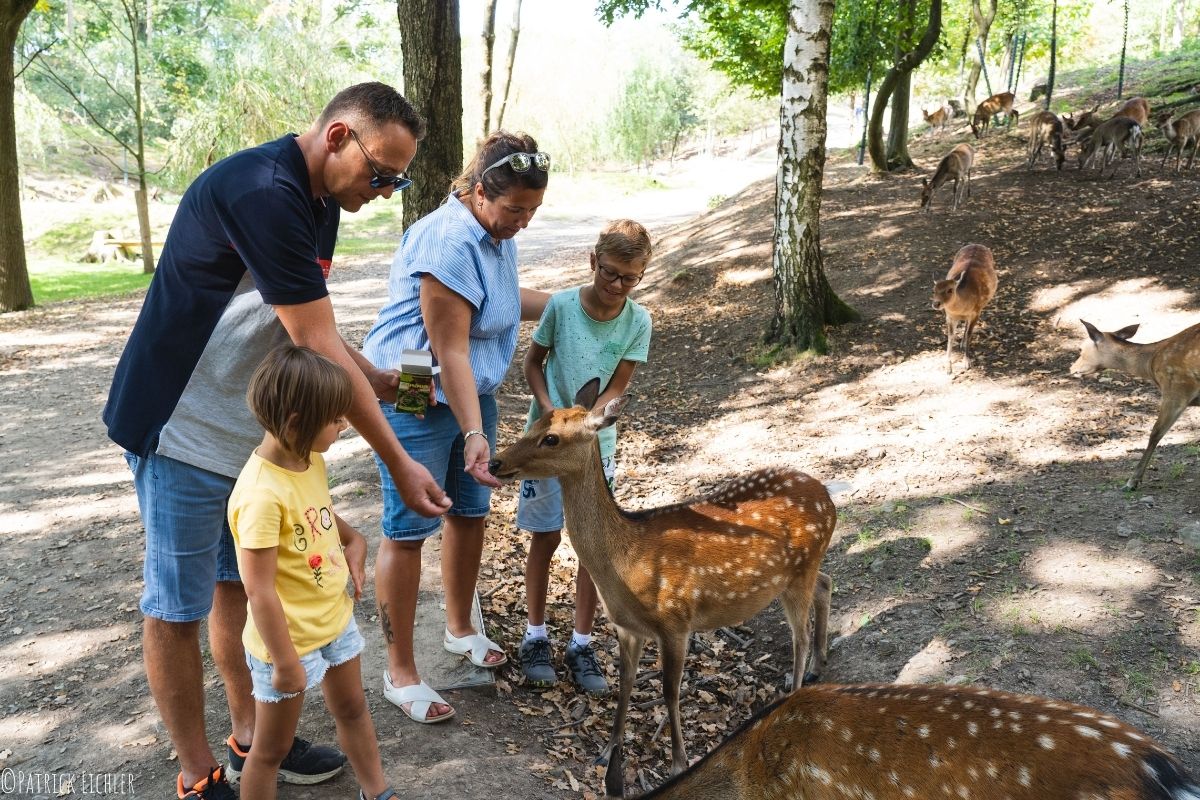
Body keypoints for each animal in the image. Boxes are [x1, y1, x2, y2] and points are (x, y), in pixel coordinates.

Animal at [487, 379, 835, 786]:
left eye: (552, 438)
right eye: (537, 422)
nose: (495, 462)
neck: (628, 560)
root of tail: (828, 496)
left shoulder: (676, 620)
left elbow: (670, 691)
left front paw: (678, 763)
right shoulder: (626, 627)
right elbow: (625, 682)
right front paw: (609, 750)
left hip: (799, 573)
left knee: (800, 636)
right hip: (799, 573)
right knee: (826, 584)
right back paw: (817, 666)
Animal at [931, 244, 998, 376]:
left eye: (950, 290)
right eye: (933, 290)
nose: (936, 304)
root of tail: (977, 244)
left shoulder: (976, 312)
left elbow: (969, 333)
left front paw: (967, 362)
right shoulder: (949, 316)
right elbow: (950, 336)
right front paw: (948, 366)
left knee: (967, 326)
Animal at [1070, 319, 1200, 489]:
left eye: (1081, 349)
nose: (1072, 368)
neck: (1150, 364)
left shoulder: (1176, 389)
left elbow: (1155, 433)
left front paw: (1132, 481)